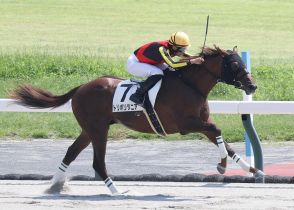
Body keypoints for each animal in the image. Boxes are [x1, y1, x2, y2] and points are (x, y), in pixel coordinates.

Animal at [11, 46, 264, 194]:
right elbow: (217, 128)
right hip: (98, 129)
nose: (252, 85)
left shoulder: (200, 123)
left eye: (242, 63)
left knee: (71, 152)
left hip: (89, 129)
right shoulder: (186, 125)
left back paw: (54, 185)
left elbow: (225, 143)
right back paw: (115, 191)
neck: (190, 85)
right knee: (97, 162)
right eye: (234, 64)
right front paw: (222, 166)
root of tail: (82, 87)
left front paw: (253, 170)